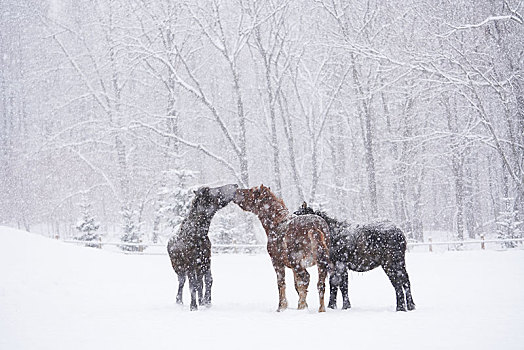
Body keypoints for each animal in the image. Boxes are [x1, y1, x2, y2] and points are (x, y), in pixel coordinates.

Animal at [234, 185, 332, 314]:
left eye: (251, 191)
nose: (235, 191)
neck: (277, 223)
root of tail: (315, 227)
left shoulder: (277, 262)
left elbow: (281, 283)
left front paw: (282, 307)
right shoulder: (295, 268)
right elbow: (298, 286)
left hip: (296, 262)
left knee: (306, 278)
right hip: (320, 264)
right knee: (320, 284)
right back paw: (320, 309)